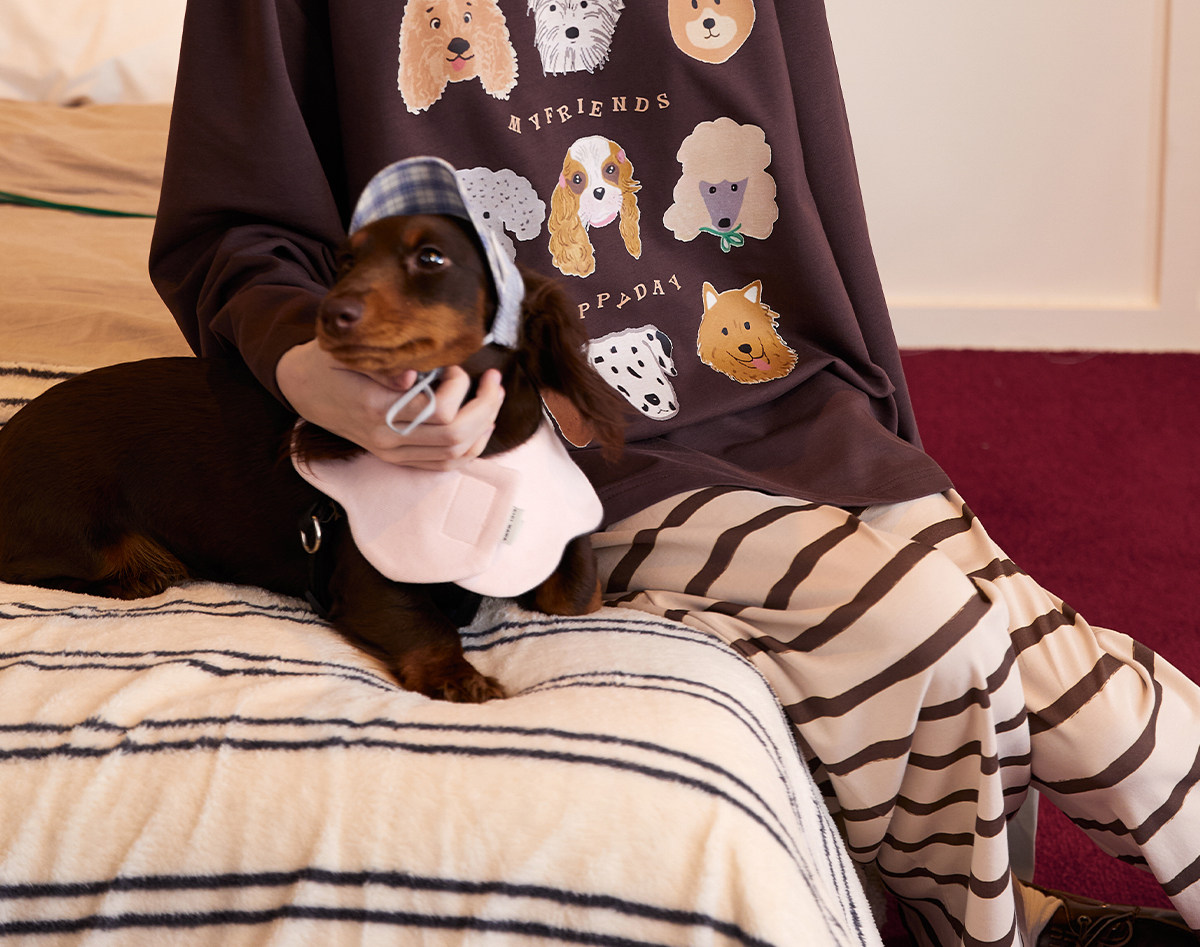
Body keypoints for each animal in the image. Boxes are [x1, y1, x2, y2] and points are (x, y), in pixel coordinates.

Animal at [0, 213, 627, 704]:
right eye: (345, 260)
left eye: (431, 258)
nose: (332, 314)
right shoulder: (368, 579)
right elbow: (426, 625)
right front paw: (458, 677)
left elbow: (578, 593)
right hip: (87, 540)